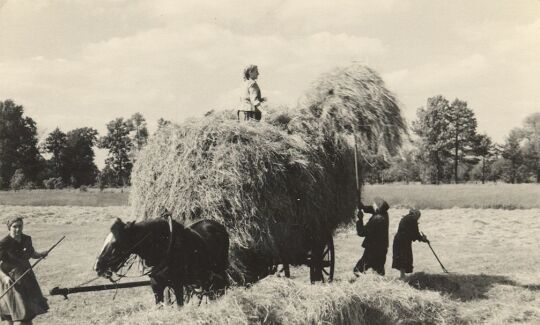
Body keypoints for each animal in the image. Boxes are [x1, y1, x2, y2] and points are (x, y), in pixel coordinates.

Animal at [94, 214, 229, 306]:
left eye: (115, 243)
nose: (97, 266)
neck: (164, 248)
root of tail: (215, 224)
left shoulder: (177, 285)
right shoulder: (156, 286)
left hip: (219, 271)